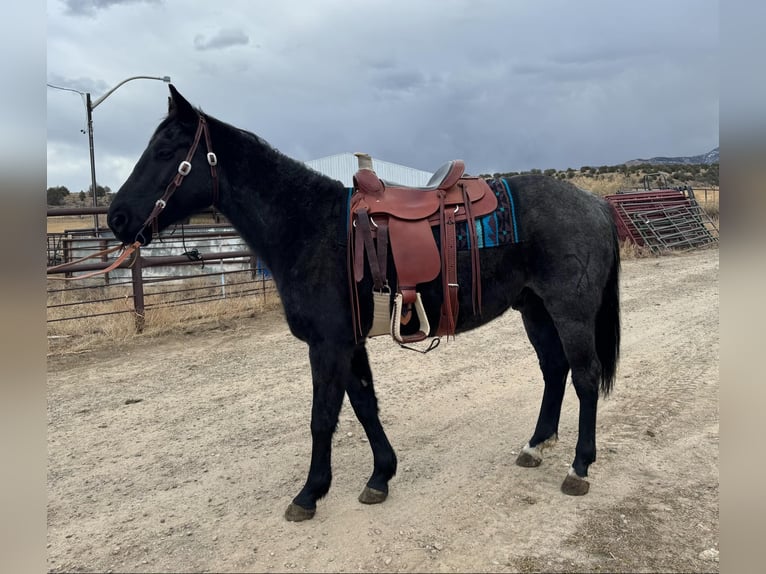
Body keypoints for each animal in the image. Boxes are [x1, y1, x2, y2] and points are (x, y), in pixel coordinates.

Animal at [107, 85, 620, 522]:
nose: (117, 217)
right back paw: (535, 445)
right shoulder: (349, 343)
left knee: (584, 376)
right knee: (554, 369)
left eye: (166, 151)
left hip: (570, 311)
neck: (309, 226)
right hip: (535, 309)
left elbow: (322, 418)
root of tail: (594, 204)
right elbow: (364, 405)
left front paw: (309, 493)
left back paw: (579, 467)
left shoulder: (328, 345)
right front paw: (380, 476)